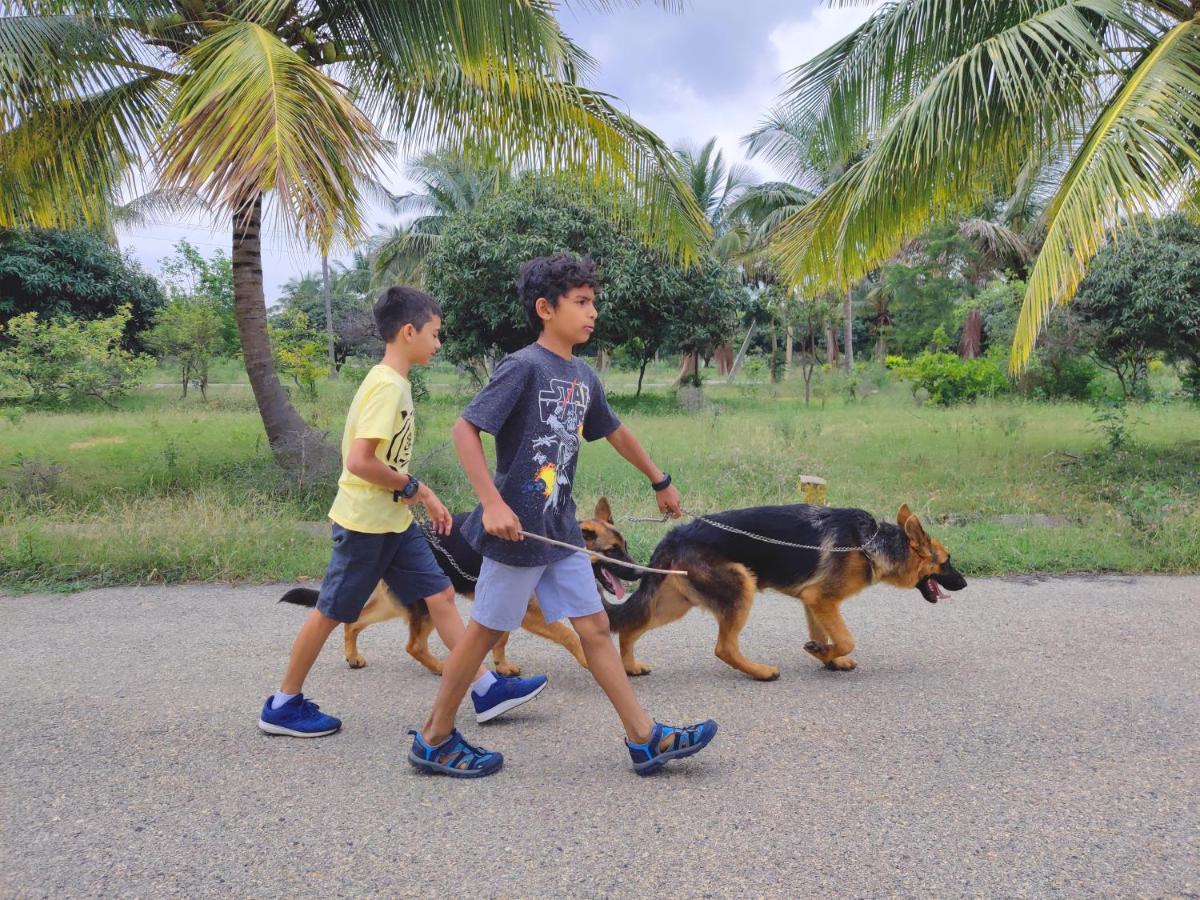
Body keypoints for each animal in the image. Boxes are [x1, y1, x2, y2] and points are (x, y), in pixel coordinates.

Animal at [278, 501, 648, 676]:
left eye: (625, 547)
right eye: (613, 551)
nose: (640, 572)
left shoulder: (508, 604)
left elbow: (500, 638)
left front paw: (502, 666)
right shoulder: (531, 613)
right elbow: (570, 635)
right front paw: (589, 659)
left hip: (394, 604)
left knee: (353, 621)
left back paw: (353, 656)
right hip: (425, 605)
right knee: (413, 646)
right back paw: (442, 668)